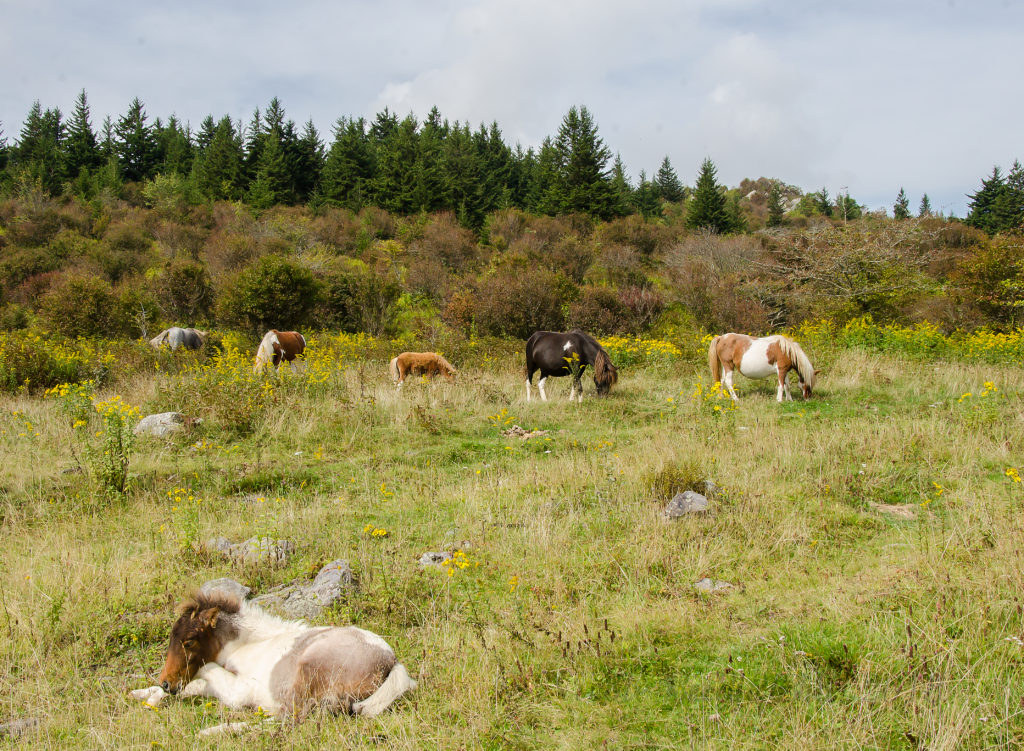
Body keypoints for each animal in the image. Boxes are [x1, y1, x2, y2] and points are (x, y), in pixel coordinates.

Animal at [131, 590, 415, 721]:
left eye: (188, 642)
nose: (166, 683)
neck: (246, 646)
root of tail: (392, 661)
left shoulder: (238, 690)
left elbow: (204, 672)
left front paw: (152, 698)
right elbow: (195, 685)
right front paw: (144, 695)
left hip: (306, 675)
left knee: (292, 718)